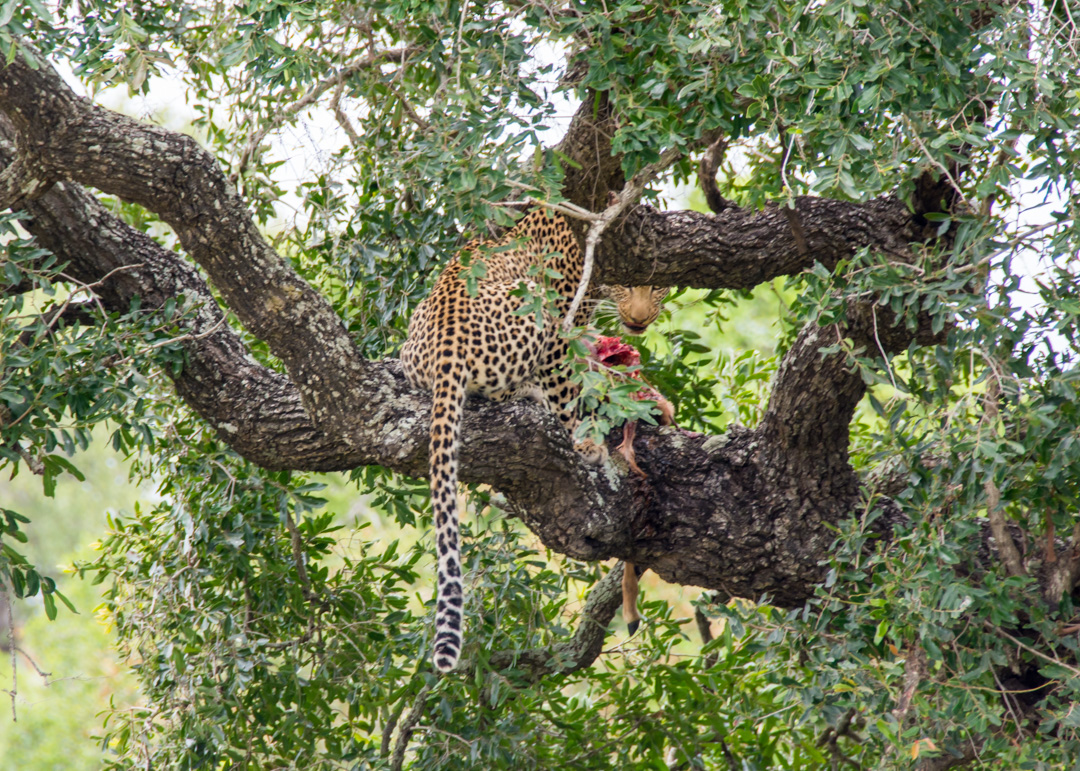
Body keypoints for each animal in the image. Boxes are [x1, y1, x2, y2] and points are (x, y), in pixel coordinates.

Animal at [397, 207, 665, 669]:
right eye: (630, 282)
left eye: (658, 284)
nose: (639, 319)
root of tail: (447, 344)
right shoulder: (564, 324)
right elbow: (570, 384)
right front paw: (586, 439)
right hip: (533, 305)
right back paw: (543, 402)